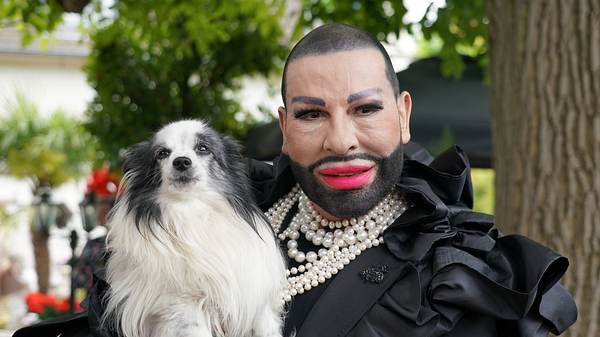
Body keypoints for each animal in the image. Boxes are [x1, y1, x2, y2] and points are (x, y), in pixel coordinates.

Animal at [99, 119, 288, 336]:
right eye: (162, 153)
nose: (181, 161)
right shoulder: (181, 305)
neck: (190, 209)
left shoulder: (255, 299)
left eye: (203, 148)